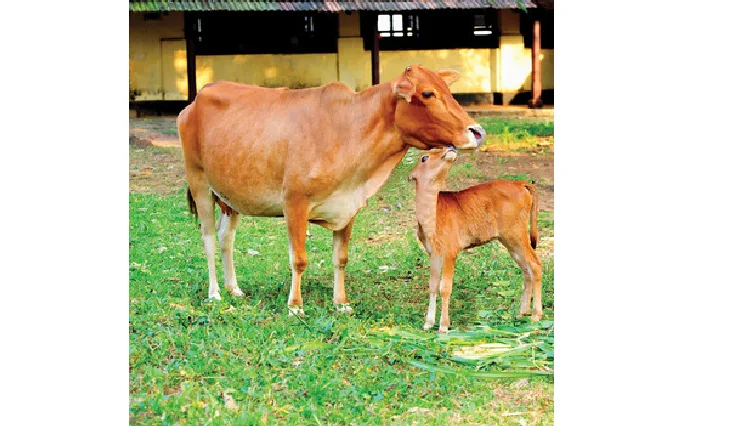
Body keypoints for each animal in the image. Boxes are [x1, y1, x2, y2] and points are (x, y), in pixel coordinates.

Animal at [177, 65, 487, 315]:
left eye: (448, 90)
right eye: (428, 93)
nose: (478, 132)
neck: (348, 130)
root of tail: (199, 97)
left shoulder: (348, 206)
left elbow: (341, 258)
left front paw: (341, 302)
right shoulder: (294, 203)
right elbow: (299, 259)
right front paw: (295, 306)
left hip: (230, 197)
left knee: (225, 238)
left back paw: (234, 288)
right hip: (199, 181)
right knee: (207, 240)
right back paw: (215, 293)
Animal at [408, 147, 542, 333]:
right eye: (424, 158)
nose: (450, 148)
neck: (431, 216)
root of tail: (520, 183)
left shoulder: (450, 251)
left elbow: (445, 288)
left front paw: (443, 326)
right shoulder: (433, 253)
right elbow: (433, 285)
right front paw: (428, 323)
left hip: (517, 234)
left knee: (535, 265)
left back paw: (536, 315)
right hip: (510, 241)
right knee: (526, 270)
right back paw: (522, 313)